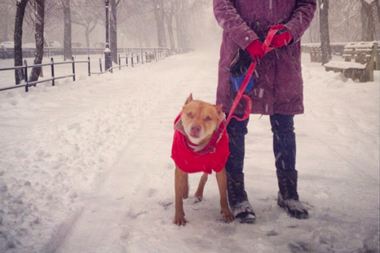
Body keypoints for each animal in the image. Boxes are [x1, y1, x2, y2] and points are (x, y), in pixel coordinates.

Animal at [171, 94, 233, 226]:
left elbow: (223, 195)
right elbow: (178, 197)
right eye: (190, 114)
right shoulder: (180, 164)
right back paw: (185, 191)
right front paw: (179, 216)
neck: (198, 148)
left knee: (204, 175)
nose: (195, 128)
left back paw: (198, 193)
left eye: (208, 118)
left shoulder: (220, 167)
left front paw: (226, 213)